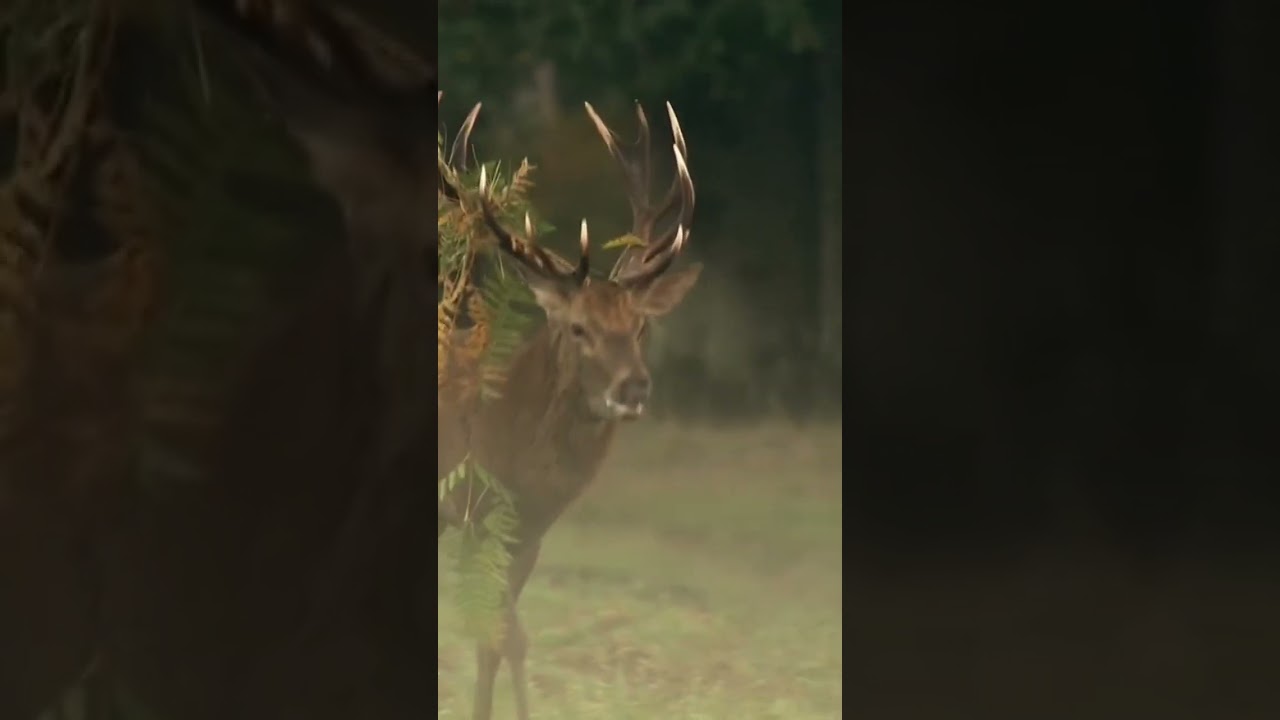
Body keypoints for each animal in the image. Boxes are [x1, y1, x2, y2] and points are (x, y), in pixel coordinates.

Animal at [438, 101, 702, 720]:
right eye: (579, 328)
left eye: (641, 326)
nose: (634, 387)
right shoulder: (470, 515)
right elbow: (499, 634)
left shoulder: (525, 536)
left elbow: (501, 640)